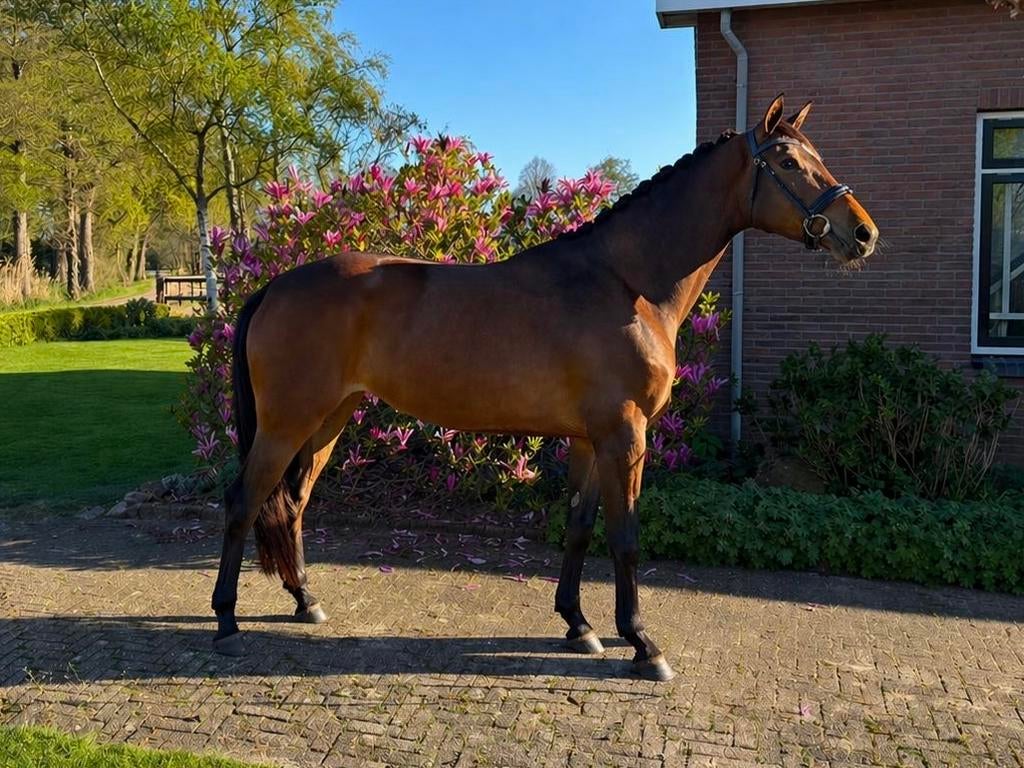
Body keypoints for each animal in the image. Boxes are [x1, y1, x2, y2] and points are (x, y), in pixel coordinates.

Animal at [209, 95, 879, 681]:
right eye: (788, 162)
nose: (864, 234)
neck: (627, 283)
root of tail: (276, 285)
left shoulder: (589, 440)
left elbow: (579, 528)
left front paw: (579, 626)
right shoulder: (624, 435)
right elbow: (625, 538)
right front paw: (643, 644)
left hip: (328, 420)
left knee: (293, 504)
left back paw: (305, 601)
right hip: (287, 423)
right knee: (245, 501)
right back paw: (226, 623)